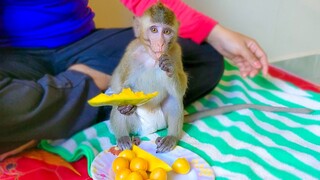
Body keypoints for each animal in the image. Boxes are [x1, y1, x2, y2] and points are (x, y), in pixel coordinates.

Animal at [109, 2, 188, 153]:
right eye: (154, 30)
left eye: (167, 32)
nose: (161, 43)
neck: (153, 59)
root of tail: (150, 129)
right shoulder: (131, 52)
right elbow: (121, 85)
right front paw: (128, 106)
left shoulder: (176, 52)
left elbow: (180, 89)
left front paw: (170, 68)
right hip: (135, 124)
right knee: (117, 106)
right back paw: (124, 138)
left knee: (174, 98)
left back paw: (171, 137)